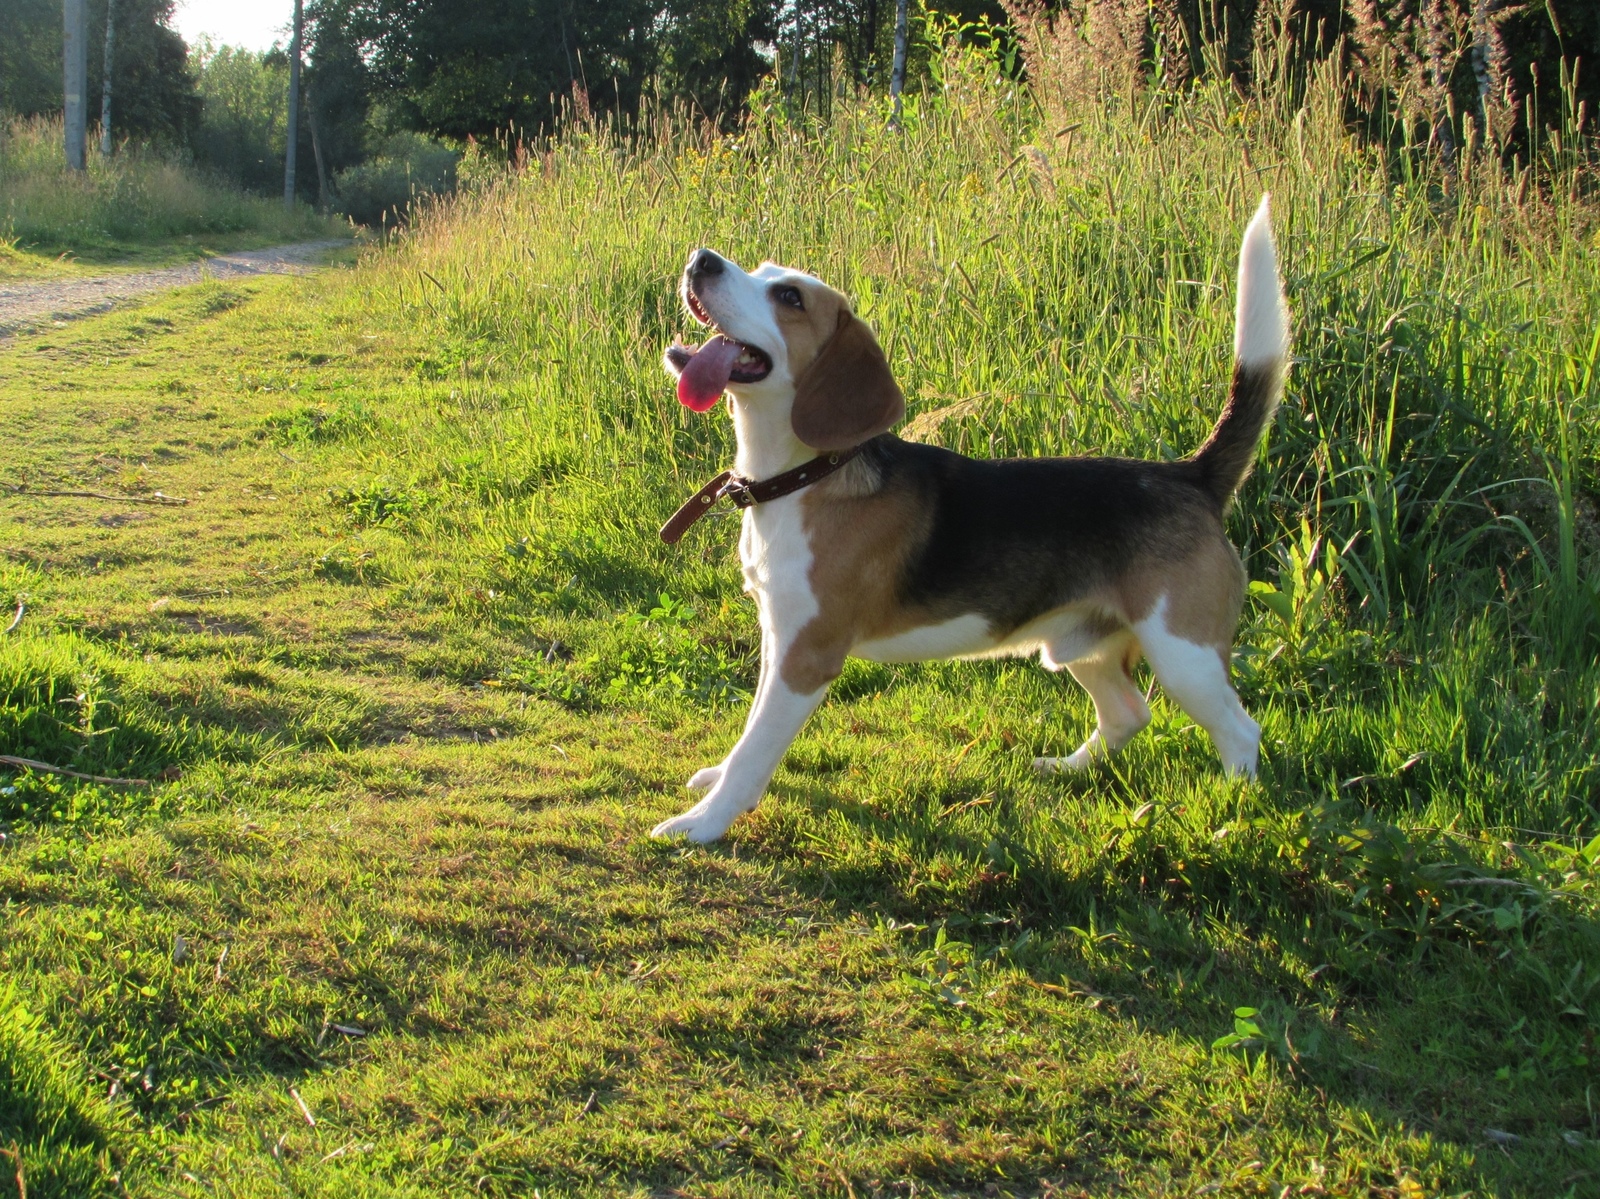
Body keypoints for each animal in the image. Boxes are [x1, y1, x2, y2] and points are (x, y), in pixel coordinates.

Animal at [649, 196, 1286, 838]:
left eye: (790, 297)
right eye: (759, 269)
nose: (700, 260)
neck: (806, 475)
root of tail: (1192, 476)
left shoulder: (807, 653)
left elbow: (756, 748)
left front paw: (703, 822)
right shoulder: (777, 634)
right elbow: (748, 730)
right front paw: (714, 784)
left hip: (1185, 656)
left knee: (1239, 730)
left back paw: (1232, 817)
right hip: (1083, 644)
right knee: (1128, 712)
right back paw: (1066, 769)